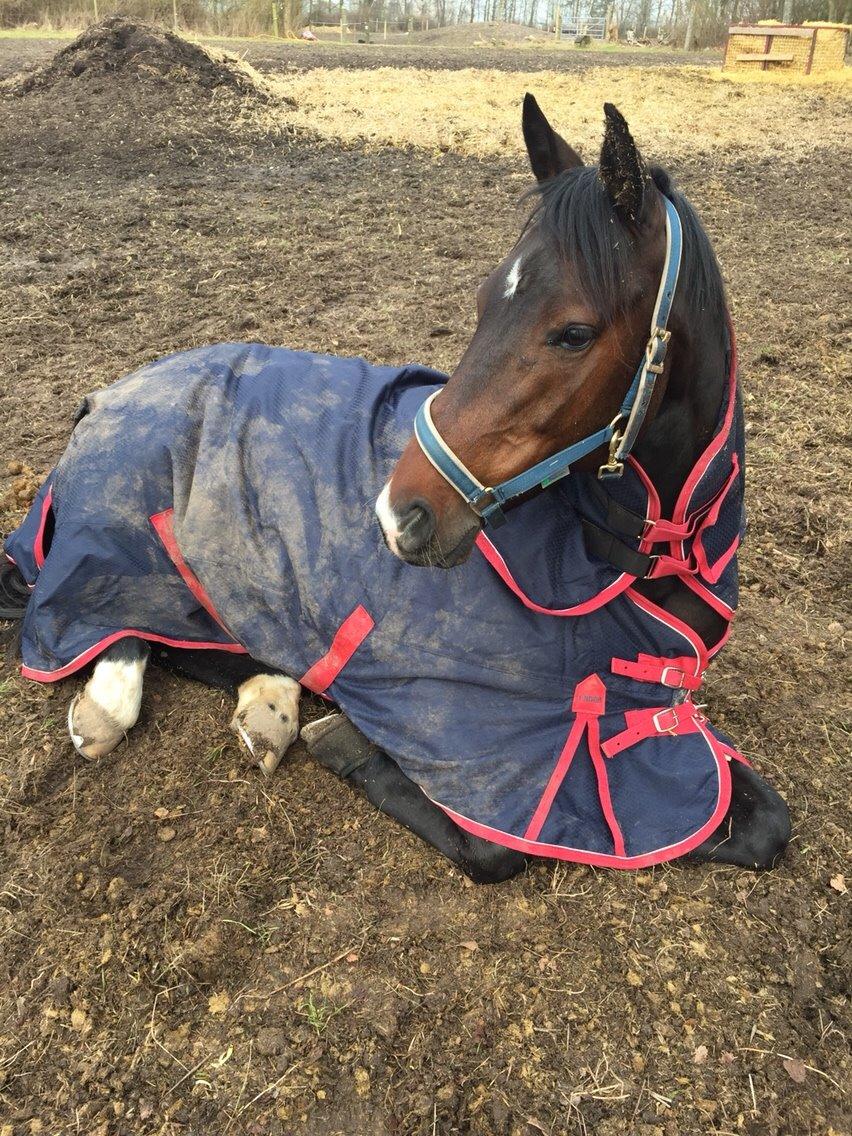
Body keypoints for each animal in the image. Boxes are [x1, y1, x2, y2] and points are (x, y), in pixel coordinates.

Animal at [1, 97, 795, 881]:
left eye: (574, 332)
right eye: (483, 300)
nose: (396, 516)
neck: (629, 555)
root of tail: (103, 398)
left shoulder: (652, 715)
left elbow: (767, 823)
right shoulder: (490, 742)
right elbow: (497, 848)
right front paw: (345, 738)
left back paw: (269, 701)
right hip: (122, 548)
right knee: (110, 620)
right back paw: (126, 703)